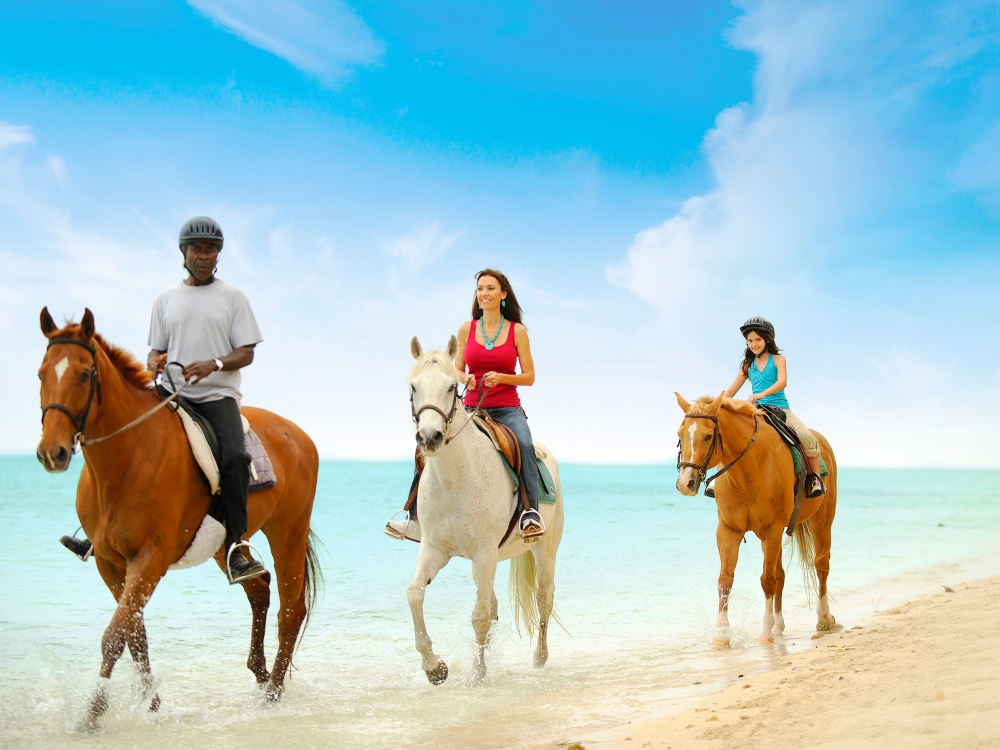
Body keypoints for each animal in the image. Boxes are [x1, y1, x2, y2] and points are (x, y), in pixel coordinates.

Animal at [36, 310, 320, 728]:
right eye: (42, 374)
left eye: (85, 375)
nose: (51, 452)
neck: (126, 457)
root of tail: (298, 434)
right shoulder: (110, 563)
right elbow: (133, 633)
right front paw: (151, 703)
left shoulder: (150, 559)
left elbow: (115, 635)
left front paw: (93, 714)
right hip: (225, 545)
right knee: (259, 588)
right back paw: (261, 673)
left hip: (288, 531)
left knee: (291, 609)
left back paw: (273, 694)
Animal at [404, 338, 564, 684]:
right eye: (413, 386)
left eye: (452, 386)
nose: (430, 437)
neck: (455, 478)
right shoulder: (434, 549)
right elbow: (415, 594)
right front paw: (434, 667)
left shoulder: (484, 552)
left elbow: (479, 617)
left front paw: (478, 676)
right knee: (492, 601)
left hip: (544, 551)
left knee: (543, 599)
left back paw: (540, 659)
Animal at [676, 396, 840, 648]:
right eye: (680, 434)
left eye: (708, 436)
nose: (686, 483)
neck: (748, 470)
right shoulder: (729, 530)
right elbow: (725, 581)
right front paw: (721, 636)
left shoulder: (772, 529)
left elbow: (767, 580)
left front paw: (764, 632)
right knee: (781, 574)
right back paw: (779, 627)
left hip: (821, 521)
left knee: (821, 565)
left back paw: (823, 618)